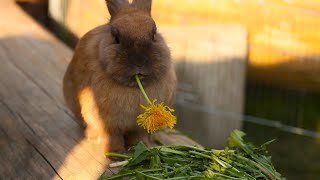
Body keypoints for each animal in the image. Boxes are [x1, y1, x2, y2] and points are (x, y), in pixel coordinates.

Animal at [62, 0, 178, 152]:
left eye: (154, 34)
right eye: (116, 37)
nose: (139, 61)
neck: (134, 86)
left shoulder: (139, 127)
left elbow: (138, 137)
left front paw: (143, 148)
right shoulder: (106, 122)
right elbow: (112, 137)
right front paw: (114, 152)